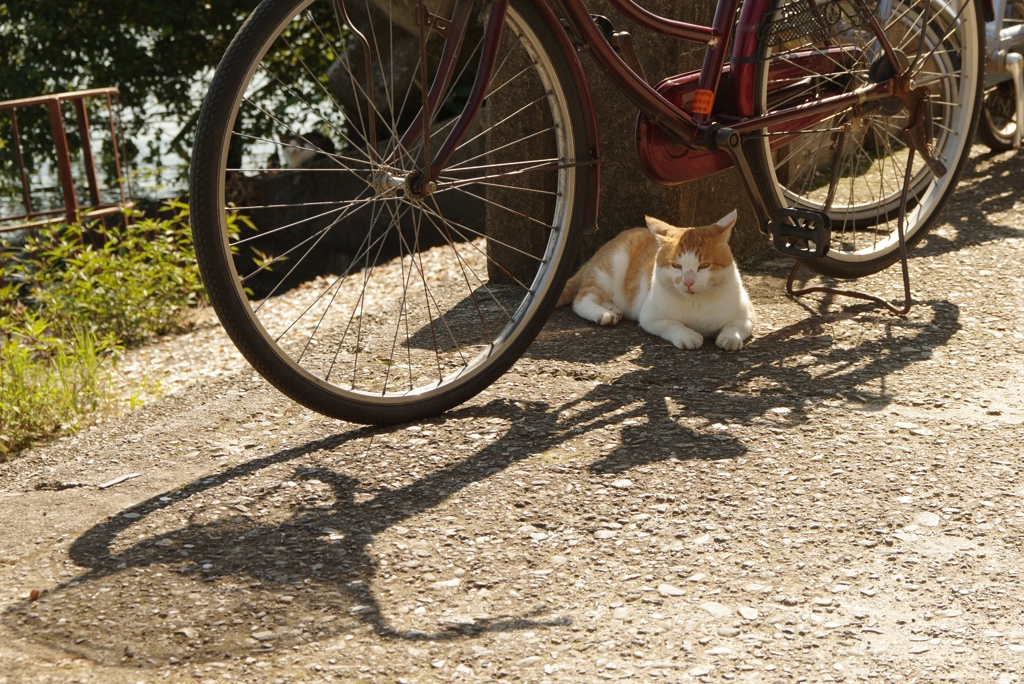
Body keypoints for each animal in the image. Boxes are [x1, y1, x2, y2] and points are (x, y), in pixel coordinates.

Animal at [557, 209, 757, 350]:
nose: (688, 281)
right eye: (676, 266)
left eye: (704, 265)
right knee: (582, 300)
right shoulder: (651, 318)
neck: (697, 303)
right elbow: (672, 324)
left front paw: (729, 338)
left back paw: (613, 309)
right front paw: (687, 335)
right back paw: (603, 314)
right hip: (612, 266)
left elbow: (736, 326)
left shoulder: (748, 316)